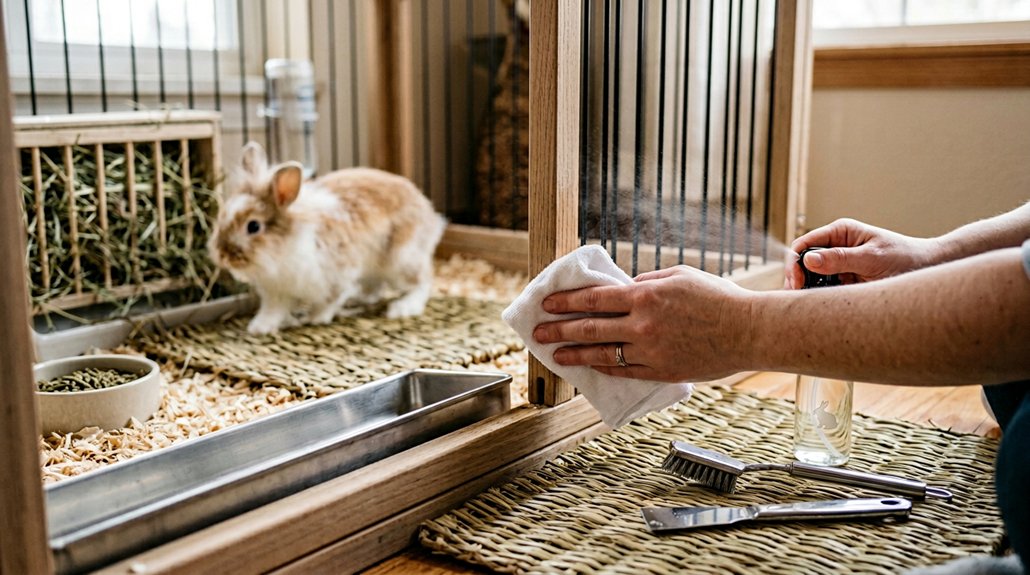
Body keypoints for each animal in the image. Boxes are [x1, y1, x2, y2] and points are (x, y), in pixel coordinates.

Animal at [208, 142, 447, 334]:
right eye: (222, 216)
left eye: (254, 226)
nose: (222, 256)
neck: (282, 252)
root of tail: (428, 211)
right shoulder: (275, 291)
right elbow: (273, 310)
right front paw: (259, 328)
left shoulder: (338, 274)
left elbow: (330, 300)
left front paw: (315, 318)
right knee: (376, 286)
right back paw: (359, 298)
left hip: (402, 258)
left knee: (423, 281)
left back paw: (403, 307)